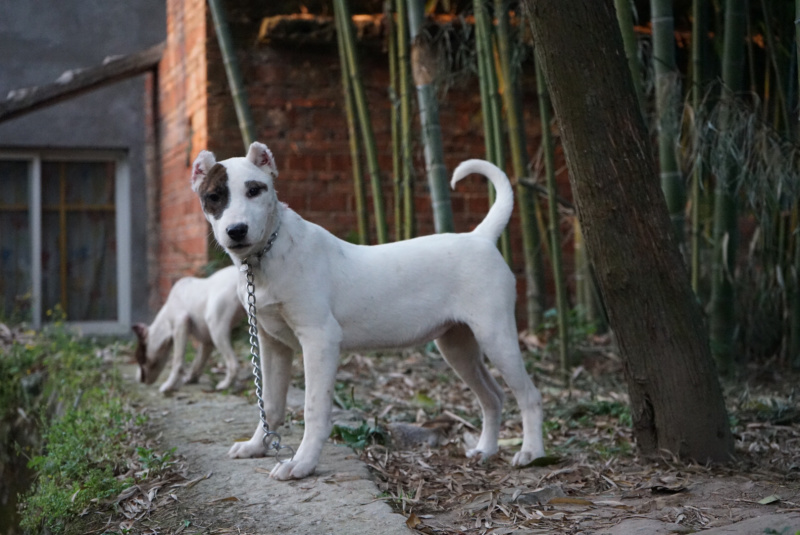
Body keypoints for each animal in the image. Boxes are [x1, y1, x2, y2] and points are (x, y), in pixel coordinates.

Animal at [131, 266, 245, 396]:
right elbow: (198, 363)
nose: (138, 379)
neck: (166, 317)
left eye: (140, 359)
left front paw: (169, 385)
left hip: (216, 328)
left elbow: (178, 363)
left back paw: (225, 385)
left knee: (233, 364)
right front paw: (191, 379)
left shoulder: (181, 326)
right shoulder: (207, 342)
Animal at [191, 142, 548, 482]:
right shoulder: (272, 343)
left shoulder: (320, 340)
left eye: (255, 190)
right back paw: (486, 449)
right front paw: (257, 446)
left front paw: (302, 463)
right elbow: (270, 403)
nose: (236, 230)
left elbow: (313, 409)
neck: (267, 255)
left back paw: (531, 453)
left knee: (529, 395)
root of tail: (480, 237)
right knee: (493, 396)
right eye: (214, 197)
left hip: (496, 335)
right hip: (457, 346)